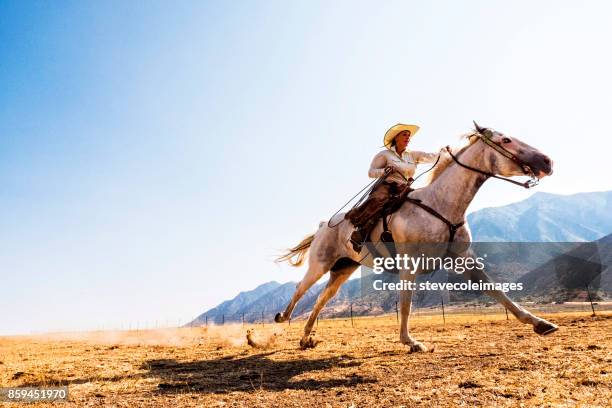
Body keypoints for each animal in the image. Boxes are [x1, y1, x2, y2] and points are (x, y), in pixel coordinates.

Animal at [274, 122, 556, 350]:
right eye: (506, 140)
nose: (547, 162)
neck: (441, 205)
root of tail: (324, 225)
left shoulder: (464, 259)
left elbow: (496, 290)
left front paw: (540, 323)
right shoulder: (409, 264)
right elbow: (406, 303)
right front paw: (410, 341)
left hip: (343, 270)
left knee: (322, 299)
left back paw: (306, 338)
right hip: (320, 265)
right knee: (301, 290)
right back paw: (281, 320)